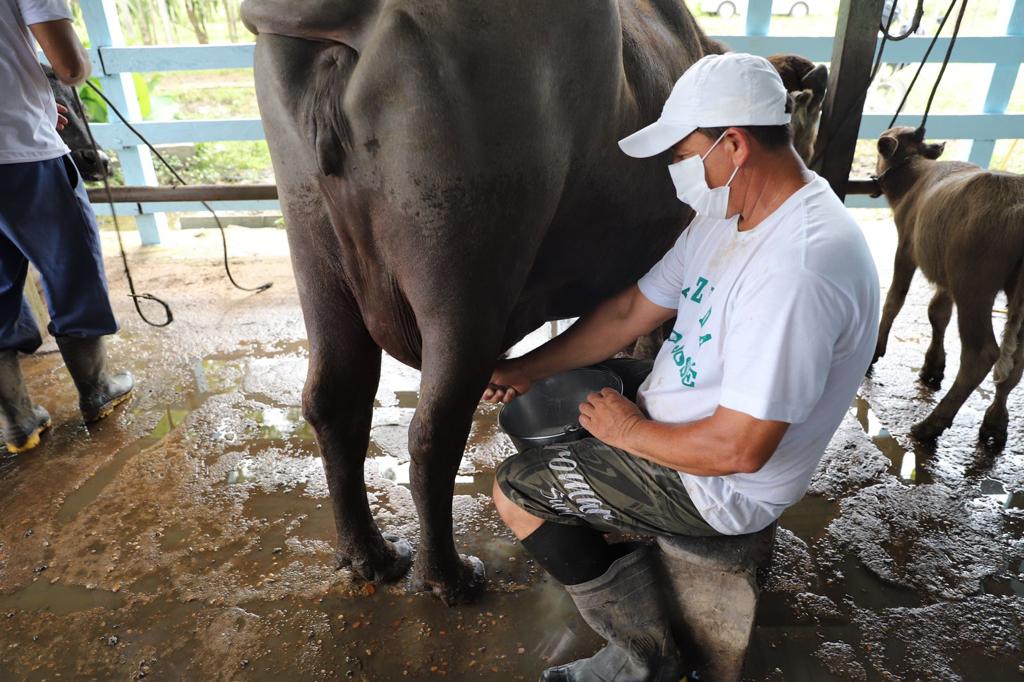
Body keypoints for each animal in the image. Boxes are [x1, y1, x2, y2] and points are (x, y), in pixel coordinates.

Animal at [238, 0, 724, 602]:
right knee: (433, 432)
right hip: (467, 273)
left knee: (335, 401)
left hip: (314, 253)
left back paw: (372, 558)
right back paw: (449, 577)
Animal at [872, 125, 1024, 446]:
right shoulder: (945, 276)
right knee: (1016, 363)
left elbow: (894, 299)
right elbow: (937, 313)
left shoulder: (907, 249)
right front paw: (933, 366)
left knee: (981, 355)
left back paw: (930, 425)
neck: (918, 176)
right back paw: (995, 423)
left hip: (974, 288)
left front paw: (876, 350)